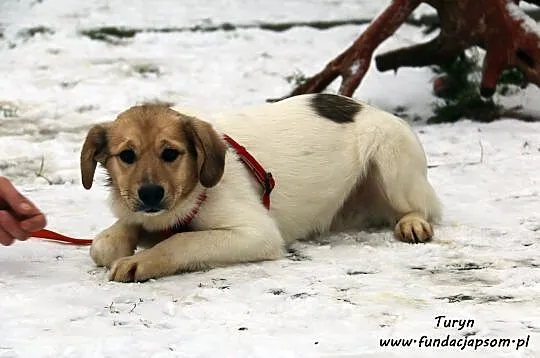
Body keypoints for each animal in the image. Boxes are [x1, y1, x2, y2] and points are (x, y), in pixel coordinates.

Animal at [81, 94, 442, 282]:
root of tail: (371, 108)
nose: (151, 194)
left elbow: (182, 241)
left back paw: (412, 222)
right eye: (127, 156)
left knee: (420, 207)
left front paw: (141, 261)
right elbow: (104, 243)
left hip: (391, 162)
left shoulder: (256, 233)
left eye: (170, 153)